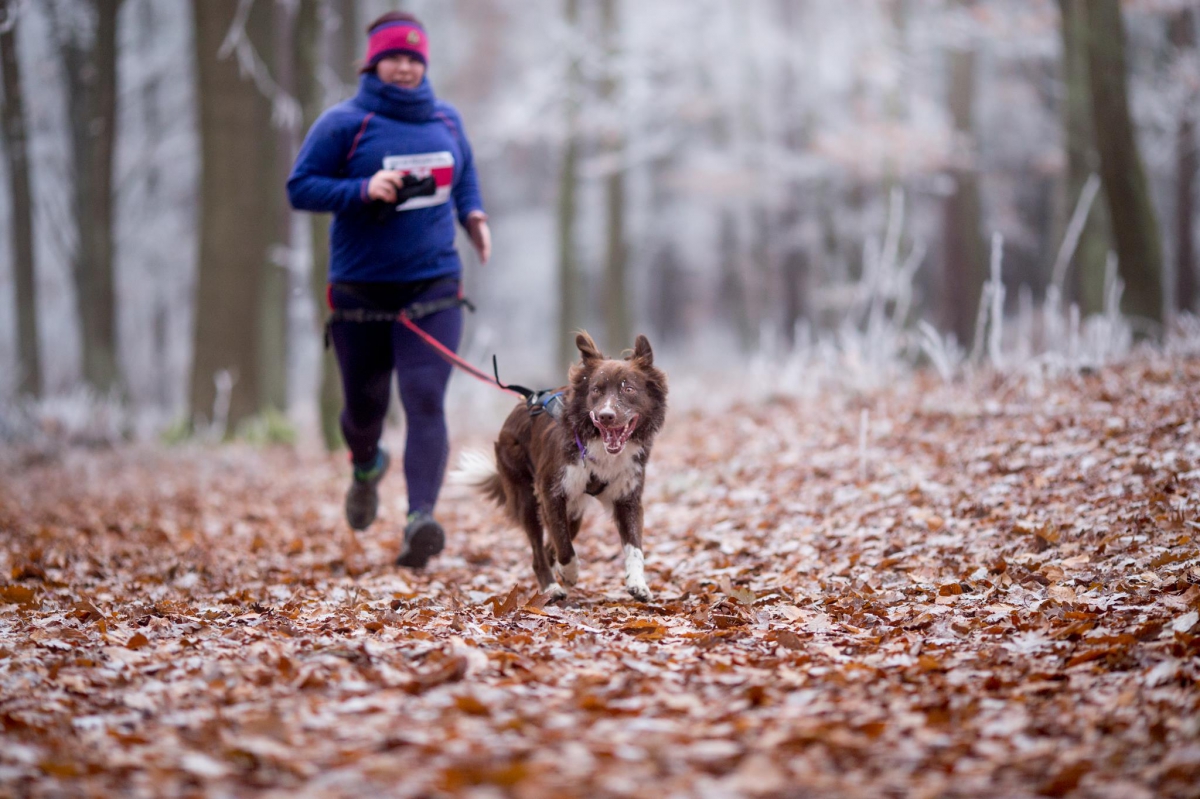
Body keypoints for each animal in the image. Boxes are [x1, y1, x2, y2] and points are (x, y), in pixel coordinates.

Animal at [456, 333, 667, 599]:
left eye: (628, 389)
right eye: (596, 390)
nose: (606, 416)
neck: (600, 447)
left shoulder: (627, 497)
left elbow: (635, 547)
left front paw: (638, 583)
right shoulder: (551, 492)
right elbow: (565, 547)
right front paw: (569, 572)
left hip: (574, 511)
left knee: (550, 546)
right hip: (528, 497)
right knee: (539, 552)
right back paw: (551, 587)